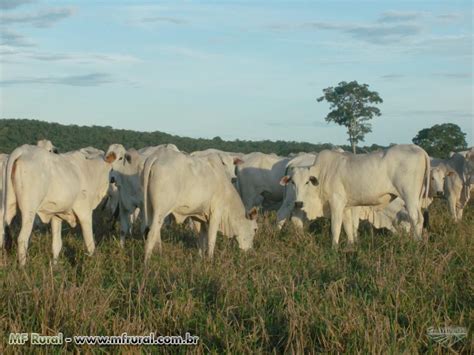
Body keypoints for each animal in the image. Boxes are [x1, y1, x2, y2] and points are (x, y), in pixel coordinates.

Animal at [280, 145, 432, 248]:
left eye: (307, 182)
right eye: (292, 182)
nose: (298, 203)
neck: (323, 173)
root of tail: (417, 148)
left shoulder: (336, 203)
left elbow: (336, 227)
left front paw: (334, 248)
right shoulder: (347, 206)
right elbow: (349, 226)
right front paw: (350, 246)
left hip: (409, 196)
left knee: (416, 218)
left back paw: (416, 243)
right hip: (417, 198)